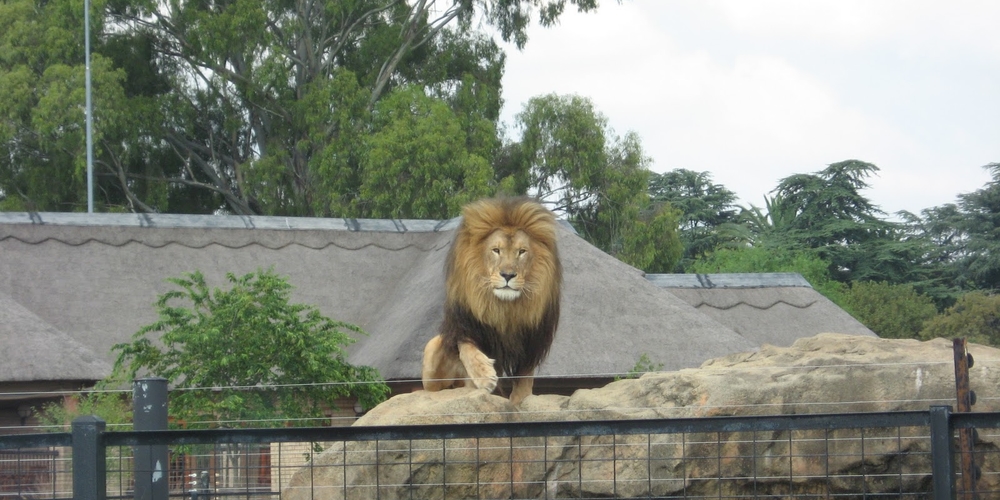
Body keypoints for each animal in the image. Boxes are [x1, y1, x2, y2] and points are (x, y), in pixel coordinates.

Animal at [420, 195, 564, 406]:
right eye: (496, 250)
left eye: (522, 251)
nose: (508, 275)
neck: (503, 308)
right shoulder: (465, 325)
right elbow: (468, 349)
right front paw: (484, 374)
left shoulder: (532, 342)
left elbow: (525, 377)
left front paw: (520, 400)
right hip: (433, 363)